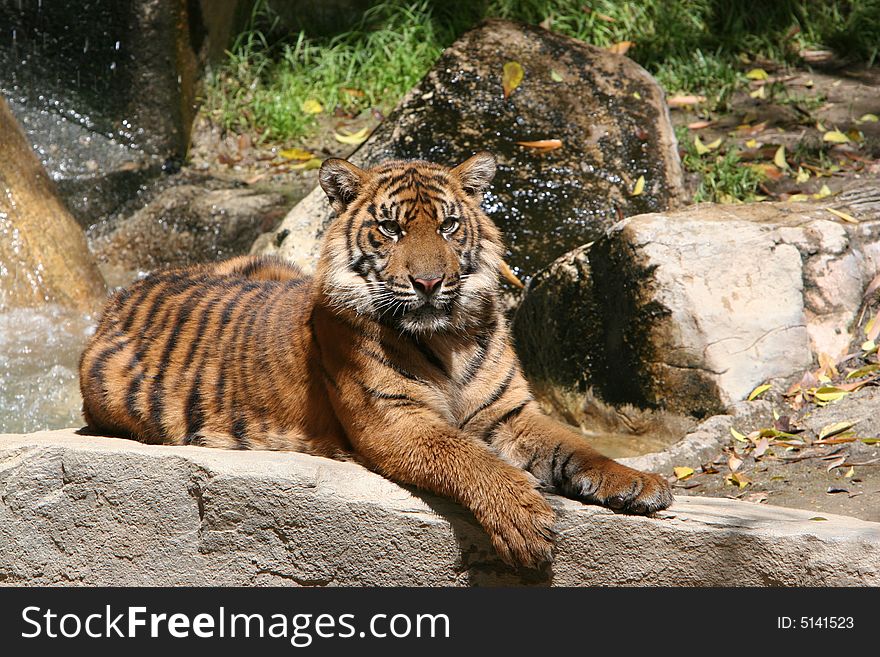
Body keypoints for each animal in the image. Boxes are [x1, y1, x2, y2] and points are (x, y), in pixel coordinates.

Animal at [82, 152, 672, 564]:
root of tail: (120, 297)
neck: (451, 336)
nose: (429, 282)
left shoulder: (511, 412)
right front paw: (524, 518)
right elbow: (469, 456)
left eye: (448, 225)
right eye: (390, 228)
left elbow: (576, 445)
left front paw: (636, 483)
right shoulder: (395, 419)